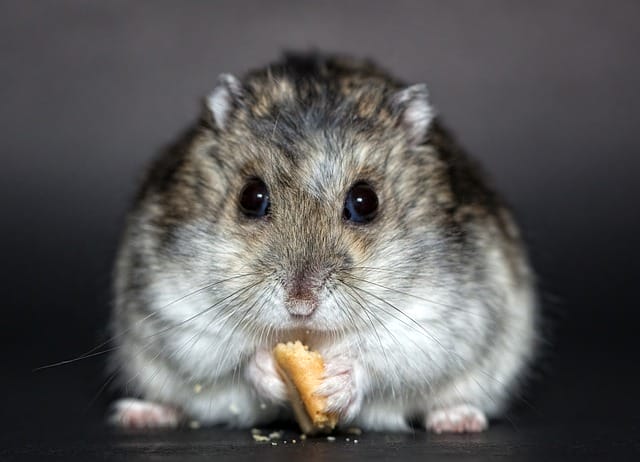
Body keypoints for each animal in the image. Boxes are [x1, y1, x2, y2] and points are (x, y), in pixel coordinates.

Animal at [108, 53, 537, 433]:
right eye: (251, 197)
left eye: (365, 202)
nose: (301, 306)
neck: (310, 335)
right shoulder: (177, 310)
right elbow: (233, 357)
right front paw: (269, 369)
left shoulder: (438, 319)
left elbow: (383, 359)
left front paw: (336, 384)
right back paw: (140, 414)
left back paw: (458, 420)